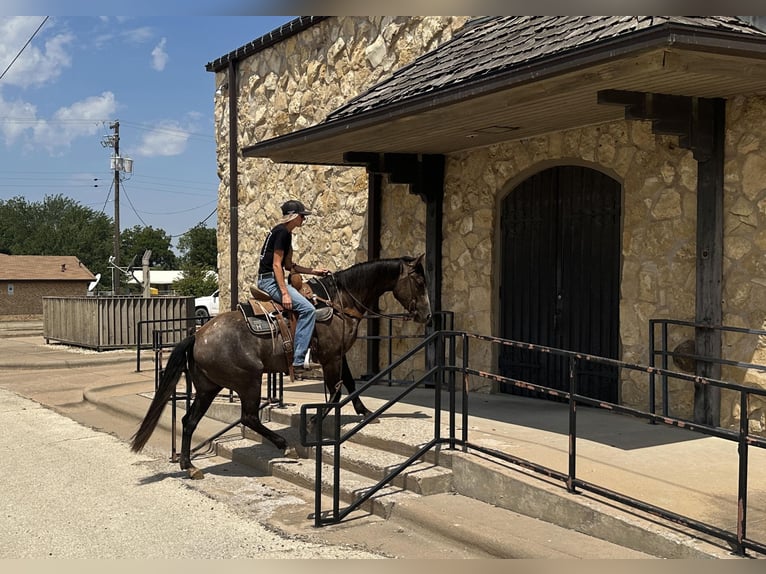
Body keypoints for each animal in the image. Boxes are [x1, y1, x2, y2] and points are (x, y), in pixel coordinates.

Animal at [132, 256, 432, 482]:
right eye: (419, 281)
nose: (427, 315)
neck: (339, 302)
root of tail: (197, 336)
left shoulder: (338, 355)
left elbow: (348, 382)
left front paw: (364, 411)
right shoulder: (330, 358)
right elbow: (335, 392)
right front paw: (314, 422)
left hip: (208, 388)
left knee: (189, 421)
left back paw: (189, 466)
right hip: (249, 381)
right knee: (249, 417)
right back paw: (284, 447)